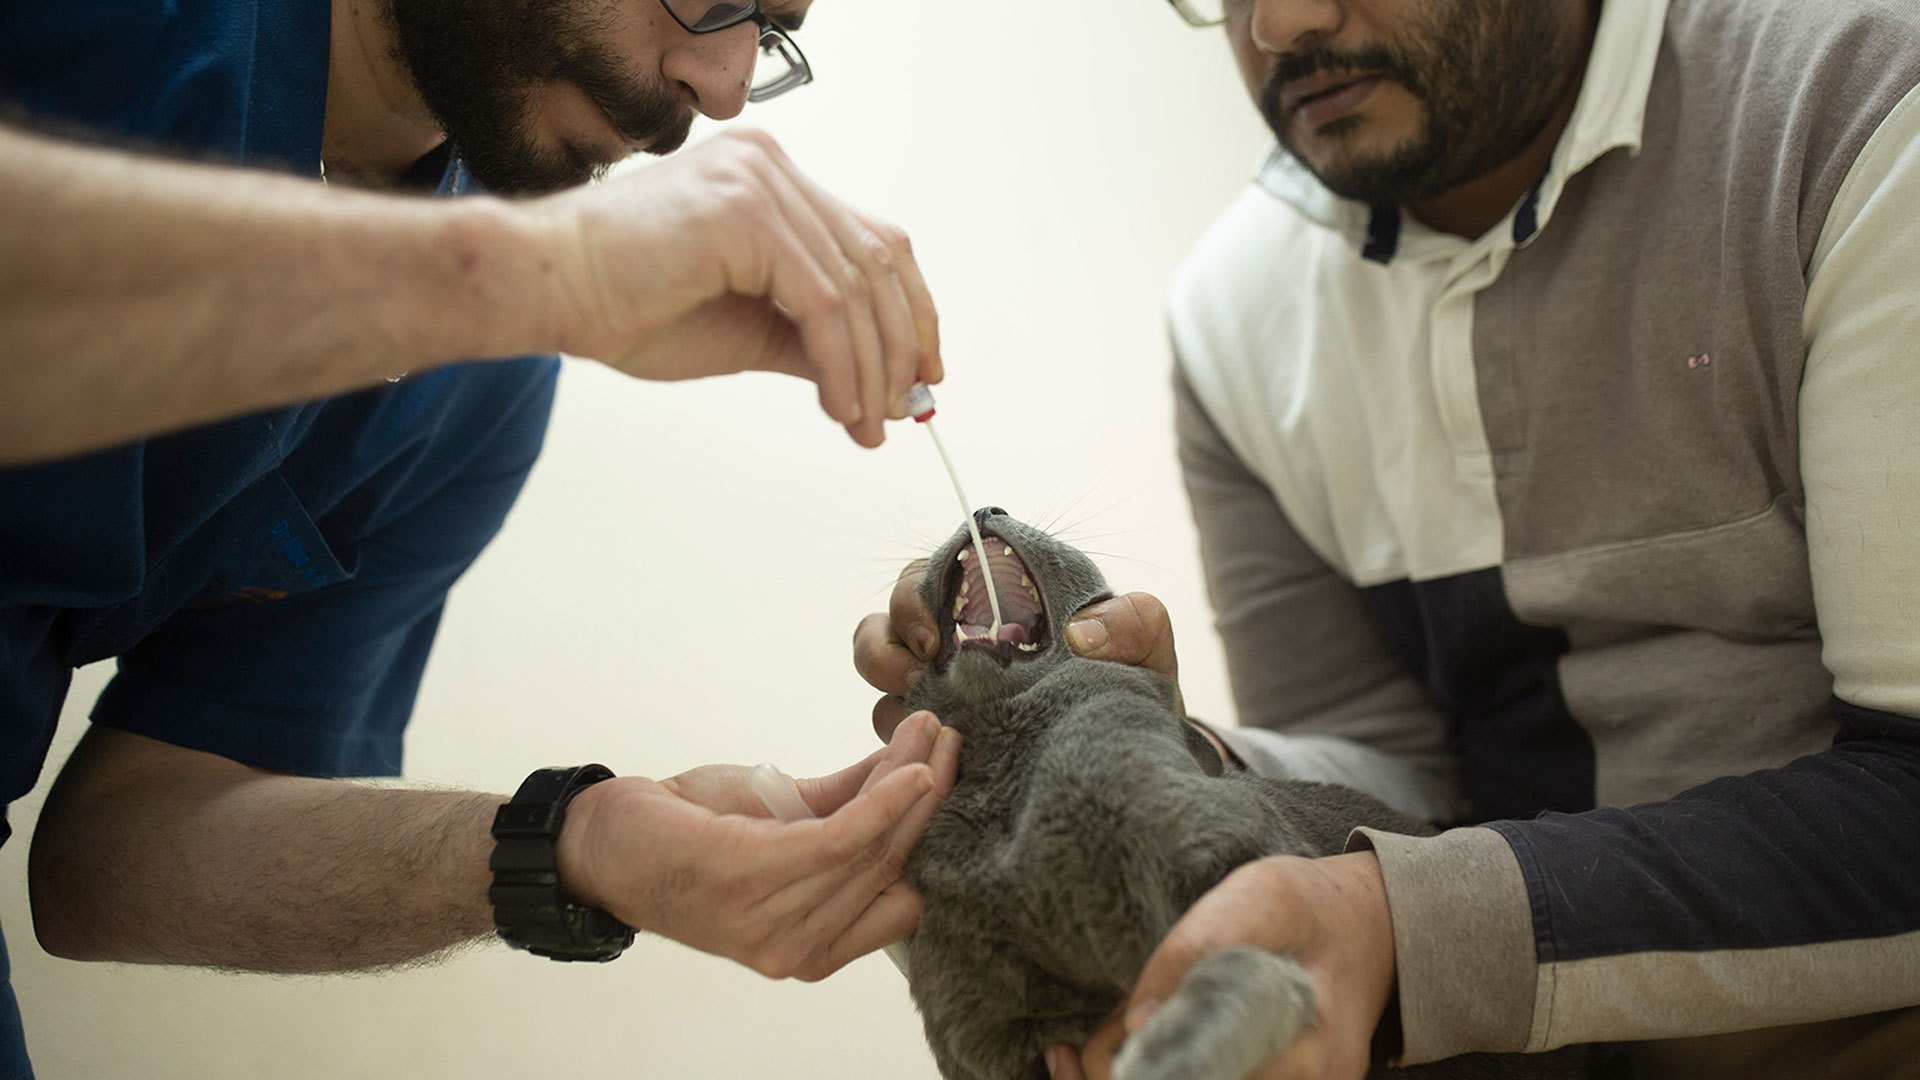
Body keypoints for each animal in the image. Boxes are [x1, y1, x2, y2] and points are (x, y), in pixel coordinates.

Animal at [898, 507, 1589, 1076]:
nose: (986, 505)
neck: (1006, 774)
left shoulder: (1239, 867)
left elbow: (1232, 970)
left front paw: (1160, 1061)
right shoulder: (988, 1034)